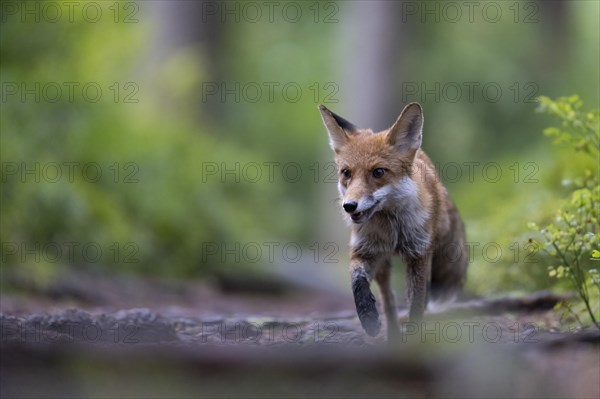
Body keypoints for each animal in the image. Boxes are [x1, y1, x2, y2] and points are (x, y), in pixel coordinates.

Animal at [318, 101, 468, 340]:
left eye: (378, 172)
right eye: (346, 173)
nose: (349, 206)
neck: (392, 230)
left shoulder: (418, 255)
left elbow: (416, 306)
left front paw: (413, 337)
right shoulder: (365, 250)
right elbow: (357, 282)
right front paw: (368, 317)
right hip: (383, 265)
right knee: (388, 300)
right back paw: (391, 334)